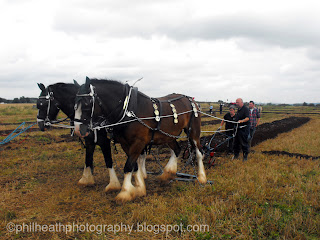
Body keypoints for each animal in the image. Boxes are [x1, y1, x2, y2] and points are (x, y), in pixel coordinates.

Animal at [74, 77, 206, 202]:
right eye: (74, 104)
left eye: (87, 104)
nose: (78, 130)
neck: (128, 110)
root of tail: (191, 99)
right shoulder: (125, 144)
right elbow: (134, 166)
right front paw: (139, 188)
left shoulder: (138, 143)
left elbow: (128, 166)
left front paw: (125, 192)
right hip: (169, 136)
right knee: (177, 150)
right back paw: (168, 174)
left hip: (193, 132)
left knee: (199, 152)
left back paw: (201, 178)